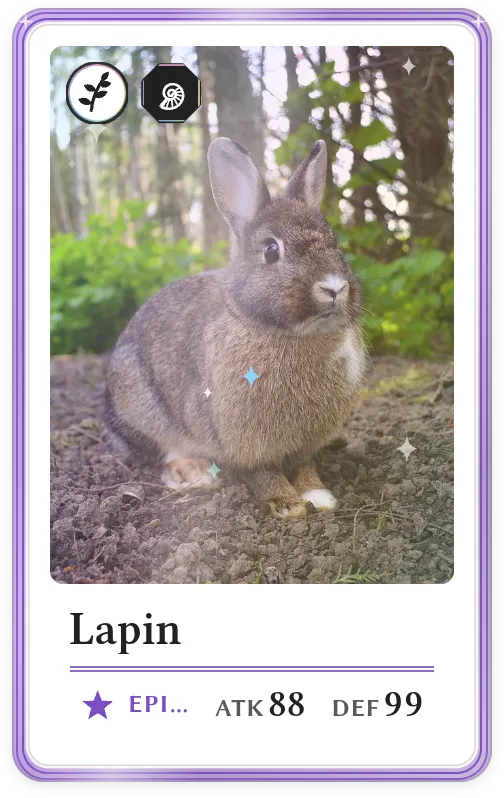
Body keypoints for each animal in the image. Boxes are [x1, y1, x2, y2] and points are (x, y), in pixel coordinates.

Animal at [104, 137, 368, 518]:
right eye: (271, 250)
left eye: (336, 243)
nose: (334, 287)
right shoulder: (244, 443)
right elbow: (262, 473)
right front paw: (288, 504)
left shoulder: (303, 446)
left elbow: (303, 467)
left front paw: (318, 495)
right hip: (142, 405)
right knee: (166, 454)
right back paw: (198, 474)